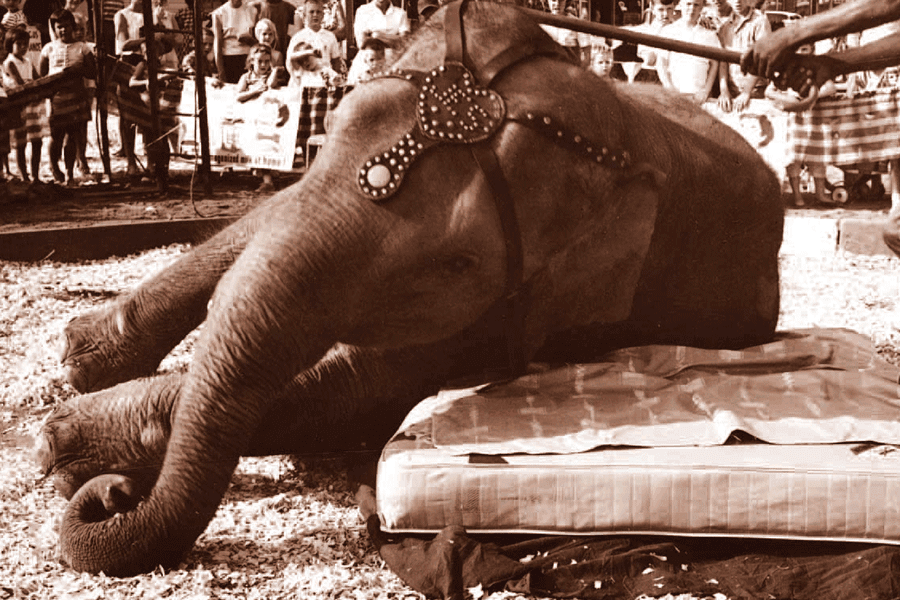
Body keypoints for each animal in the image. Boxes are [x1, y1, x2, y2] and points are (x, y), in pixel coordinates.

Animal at [37, 0, 783, 578]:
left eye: (456, 265)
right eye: (335, 124)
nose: (117, 497)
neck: (617, 126)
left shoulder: (531, 307)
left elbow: (357, 392)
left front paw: (66, 448)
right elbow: (278, 229)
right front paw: (76, 413)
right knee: (259, 218)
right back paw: (80, 354)